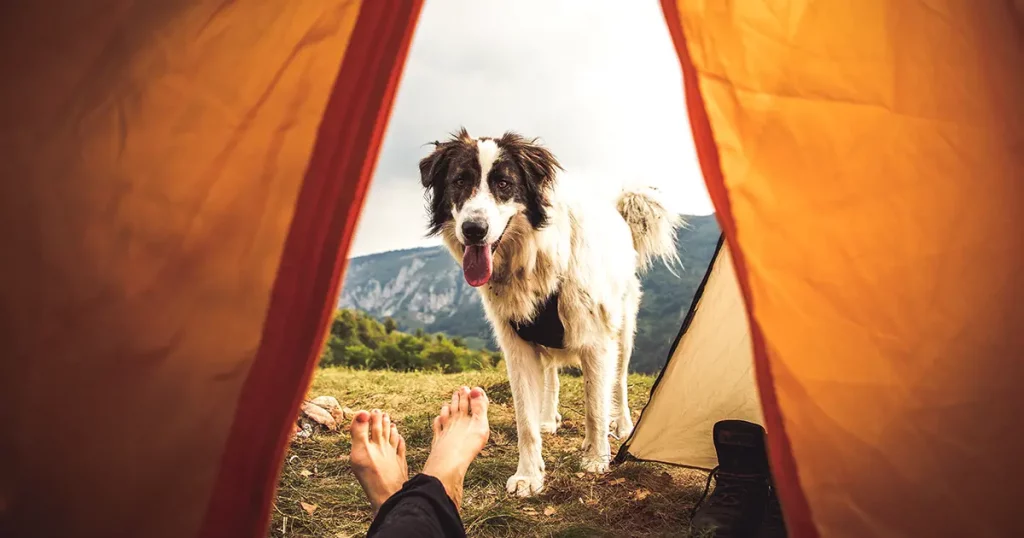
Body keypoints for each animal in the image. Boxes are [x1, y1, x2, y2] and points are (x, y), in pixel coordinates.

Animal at [415, 129, 679, 495]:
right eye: (459, 181)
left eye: (504, 183)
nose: (473, 229)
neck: (532, 257)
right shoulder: (517, 345)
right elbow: (525, 421)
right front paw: (529, 474)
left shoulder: (596, 340)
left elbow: (595, 405)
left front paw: (596, 458)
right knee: (552, 374)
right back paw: (547, 417)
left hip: (623, 328)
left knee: (619, 379)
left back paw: (622, 423)